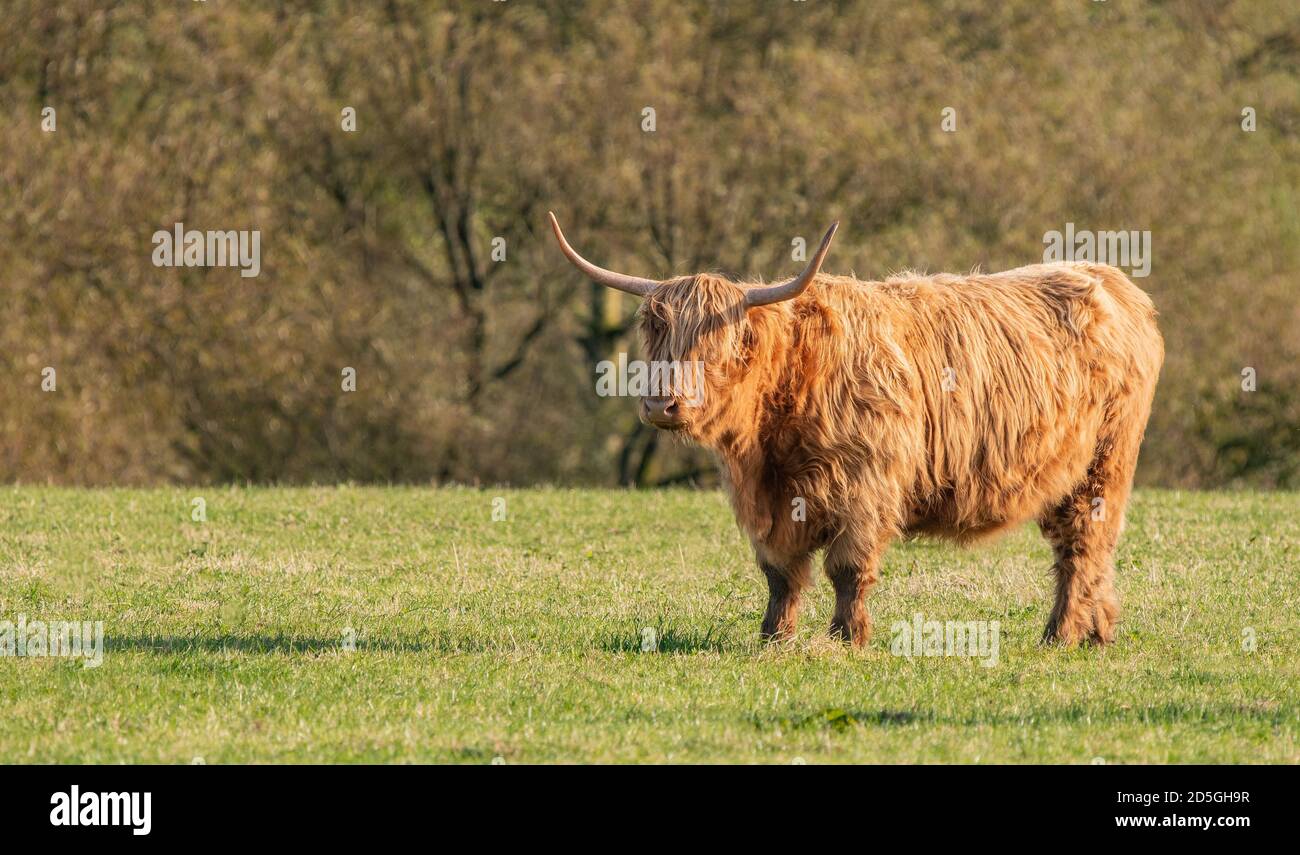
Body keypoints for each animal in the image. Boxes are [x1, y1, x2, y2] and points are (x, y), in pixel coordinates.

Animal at [549, 213, 1163, 647]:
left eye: (716, 345)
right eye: (657, 339)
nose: (663, 404)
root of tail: (1111, 280)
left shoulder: (865, 487)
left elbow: (846, 568)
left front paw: (847, 639)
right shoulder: (768, 503)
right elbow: (781, 574)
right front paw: (773, 638)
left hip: (1105, 463)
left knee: (1083, 545)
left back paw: (1060, 636)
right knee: (1087, 551)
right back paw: (1098, 632)